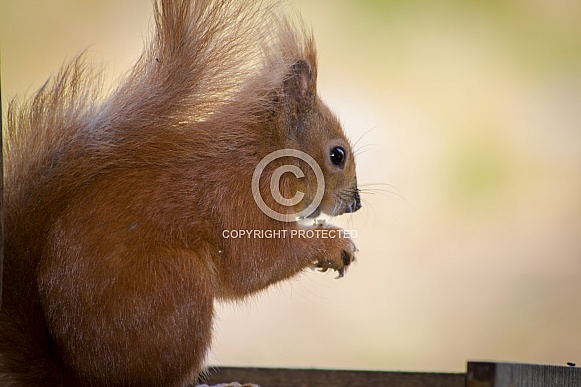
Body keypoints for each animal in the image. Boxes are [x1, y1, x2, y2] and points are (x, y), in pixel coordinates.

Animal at [2, 0, 360, 384]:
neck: (264, 153)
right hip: (178, 291)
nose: (356, 203)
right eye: (337, 155)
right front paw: (333, 243)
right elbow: (255, 263)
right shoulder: (236, 198)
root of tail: (77, 375)